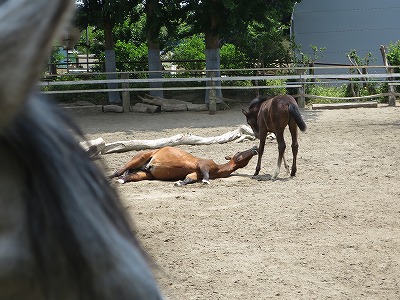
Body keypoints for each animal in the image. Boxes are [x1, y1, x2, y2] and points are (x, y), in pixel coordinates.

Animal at [110, 145, 260, 185]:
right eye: (239, 152)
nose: (255, 147)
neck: (217, 169)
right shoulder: (203, 164)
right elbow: (205, 175)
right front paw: (206, 181)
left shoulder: (194, 173)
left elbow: (188, 179)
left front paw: (179, 183)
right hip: (138, 158)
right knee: (119, 171)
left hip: (145, 174)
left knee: (129, 175)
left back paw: (121, 180)